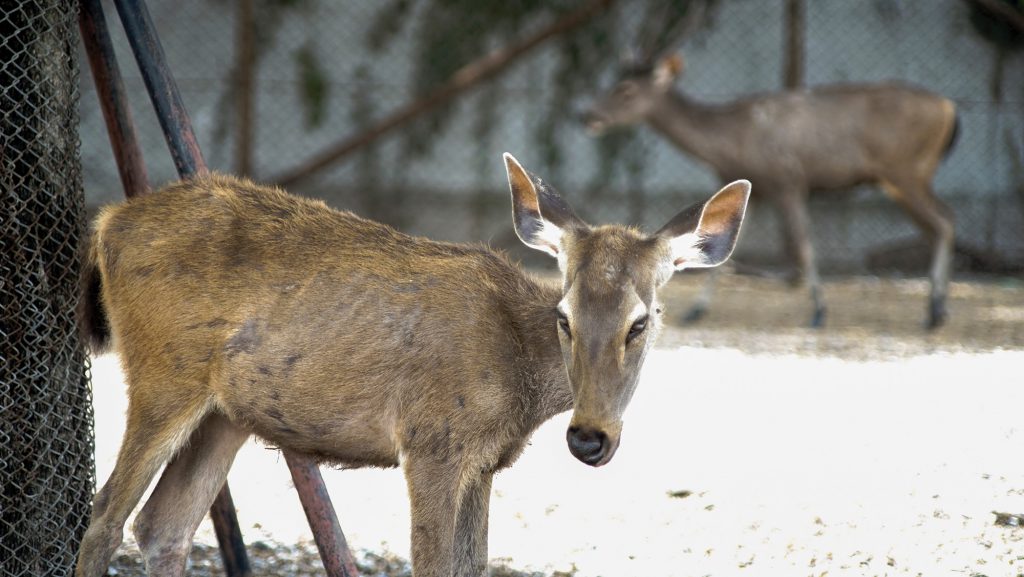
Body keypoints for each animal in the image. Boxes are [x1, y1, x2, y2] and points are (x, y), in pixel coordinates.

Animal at [72, 154, 749, 577]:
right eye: (565, 315)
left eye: (642, 321)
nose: (589, 437)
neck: (518, 389)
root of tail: (105, 222)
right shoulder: (432, 441)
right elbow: (432, 564)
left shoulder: (484, 463)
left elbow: (473, 567)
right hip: (162, 372)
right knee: (105, 515)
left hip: (225, 415)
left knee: (163, 526)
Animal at [585, 54, 958, 330]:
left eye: (626, 89)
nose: (588, 114)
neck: (731, 145)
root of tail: (950, 109)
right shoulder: (758, 189)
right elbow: (723, 255)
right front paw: (696, 310)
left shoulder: (787, 180)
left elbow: (804, 245)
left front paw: (819, 311)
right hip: (907, 177)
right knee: (940, 221)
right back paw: (937, 309)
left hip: (906, 169)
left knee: (942, 222)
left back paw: (935, 312)